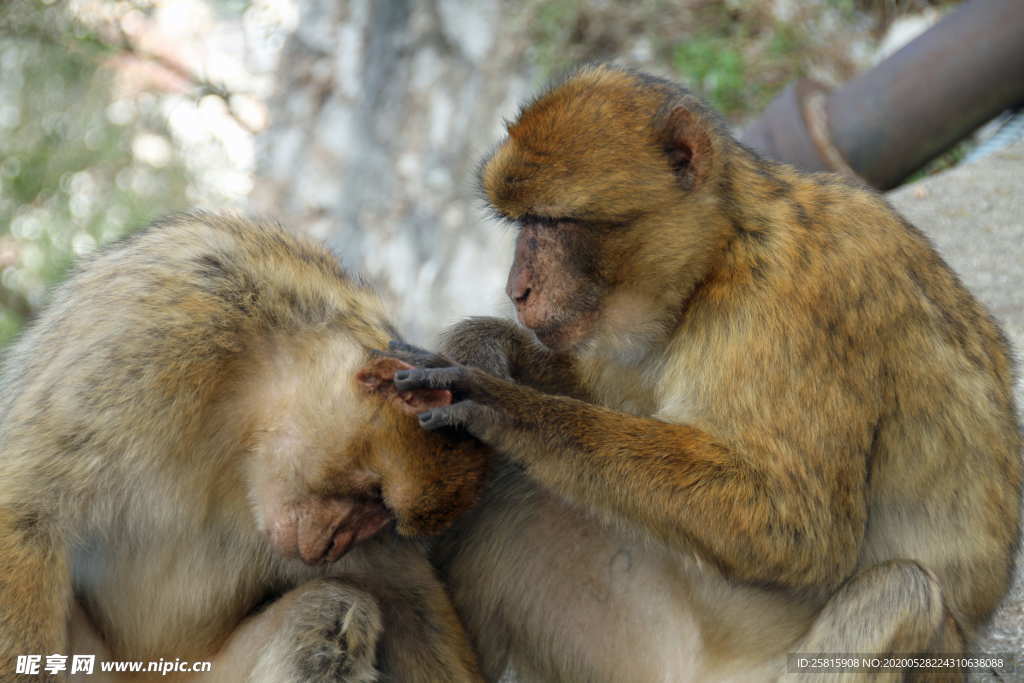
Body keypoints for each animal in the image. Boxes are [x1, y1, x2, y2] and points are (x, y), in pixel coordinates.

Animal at [0, 210, 487, 679]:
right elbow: (28, 513)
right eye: (372, 496)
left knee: (331, 610)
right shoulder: (155, 338)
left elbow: (404, 595)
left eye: (382, 517)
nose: (329, 546)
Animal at [385, 65, 1024, 683]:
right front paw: (482, 345)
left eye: (553, 221)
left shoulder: (794, 303)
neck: (724, 251)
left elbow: (795, 527)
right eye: (523, 223)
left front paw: (501, 404)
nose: (516, 289)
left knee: (900, 593)